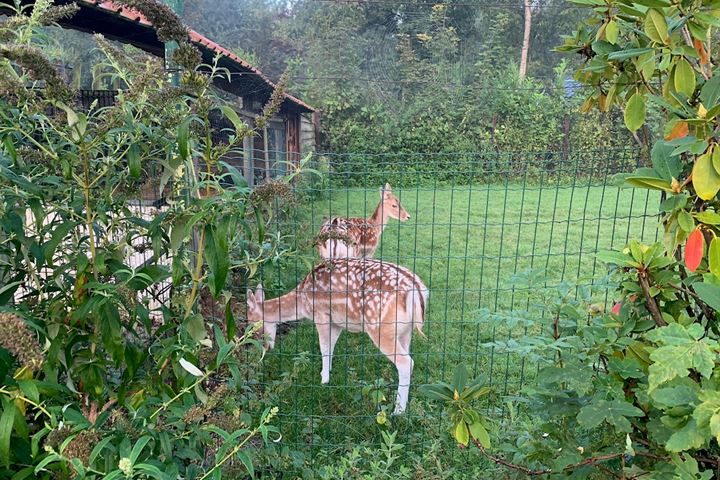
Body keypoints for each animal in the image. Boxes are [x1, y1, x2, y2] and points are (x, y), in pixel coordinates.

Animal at [248, 256, 428, 414]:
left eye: (252, 325)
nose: (264, 349)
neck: (302, 302)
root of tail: (417, 292)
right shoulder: (337, 322)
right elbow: (331, 346)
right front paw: (327, 372)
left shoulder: (321, 314)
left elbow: (324, 347)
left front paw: (324, 381)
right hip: (405, 332)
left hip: (380, 329)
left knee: (406, 363)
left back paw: (398, 412)